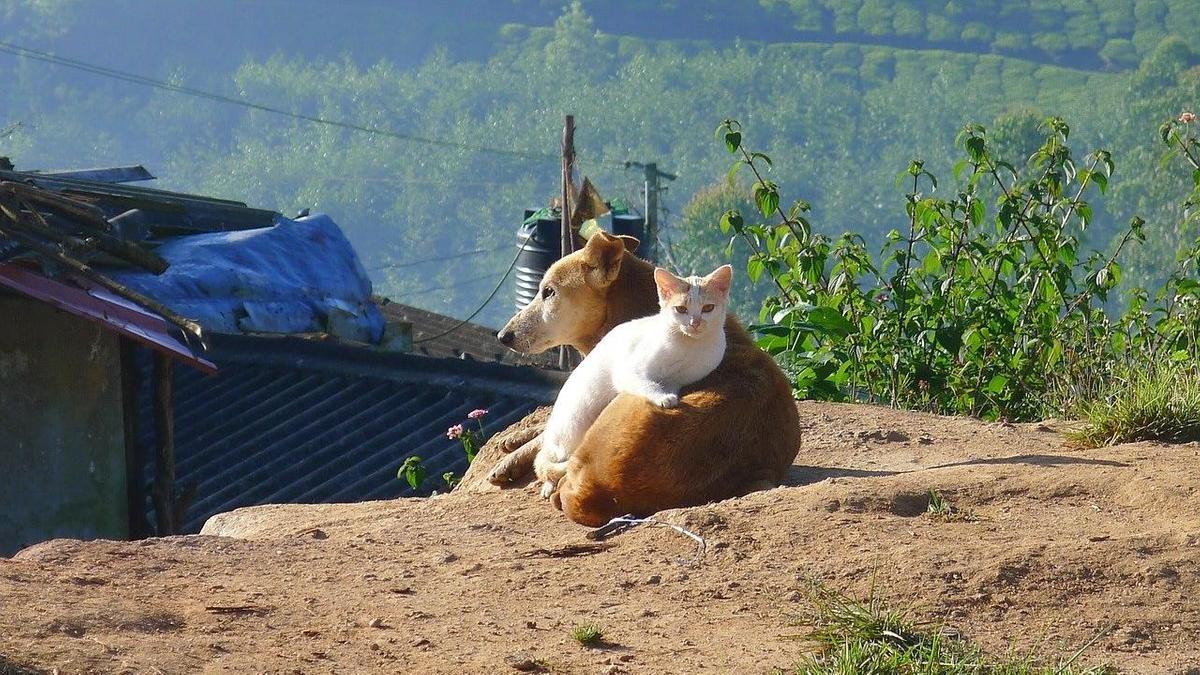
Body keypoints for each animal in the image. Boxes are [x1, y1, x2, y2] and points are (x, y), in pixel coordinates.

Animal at [532, 263, 729, 494]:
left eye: (708, 308)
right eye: (681, 309)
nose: (695, 323)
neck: (690, 347)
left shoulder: (681, 378)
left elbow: (670, 383)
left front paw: (669, 394)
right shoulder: (628, 371)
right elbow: (646, 382)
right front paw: (662, 397)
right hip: (573, 423)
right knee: (548, 462)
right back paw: (548, 485)